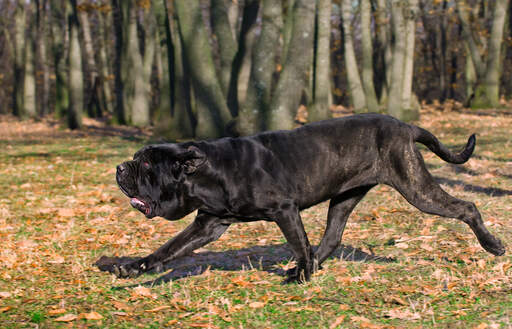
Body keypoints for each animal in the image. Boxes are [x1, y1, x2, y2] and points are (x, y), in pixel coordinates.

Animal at [98, 113, 506, 282]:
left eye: (146, 164)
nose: (120, 167)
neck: (209, 173)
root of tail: (405, 125)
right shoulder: (208, 224)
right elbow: (167, 250)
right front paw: (132, 268)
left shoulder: (284, 210)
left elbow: (297, 242)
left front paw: (302, 275)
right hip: (344, 199)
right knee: (331, 237)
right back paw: (307, 268)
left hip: (416, 190)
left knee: (467, 206)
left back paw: (494, 245)